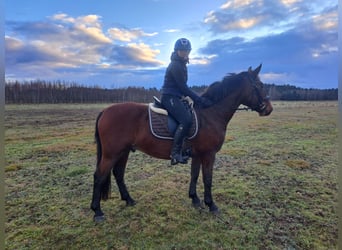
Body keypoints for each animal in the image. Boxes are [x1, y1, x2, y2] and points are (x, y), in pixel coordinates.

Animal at [90, 63, 272, 222]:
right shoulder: (209, 154)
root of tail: (105, 110)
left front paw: (195, 199)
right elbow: (207, 179)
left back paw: (129, 200)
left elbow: (195, 175)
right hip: (111, 154)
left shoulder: (198, 154)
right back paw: (97, 211)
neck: (210, 113)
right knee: (99, 176)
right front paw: (211, 205)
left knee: (118, 174)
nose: (269, 109)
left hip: (124, 151)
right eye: (260, 85)